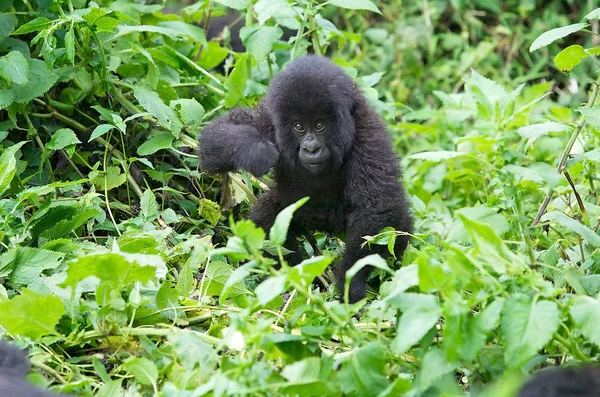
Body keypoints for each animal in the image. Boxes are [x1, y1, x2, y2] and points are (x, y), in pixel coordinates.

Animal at [200, 55, 412, 302]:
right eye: (299, 126)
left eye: (319, 125)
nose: (311, 148)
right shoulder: (269, 120)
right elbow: (217, 133)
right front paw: (255, 151)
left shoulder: (368, 134)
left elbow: (378, 208)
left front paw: (352, 283)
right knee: (268, 218)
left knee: (398, 229)